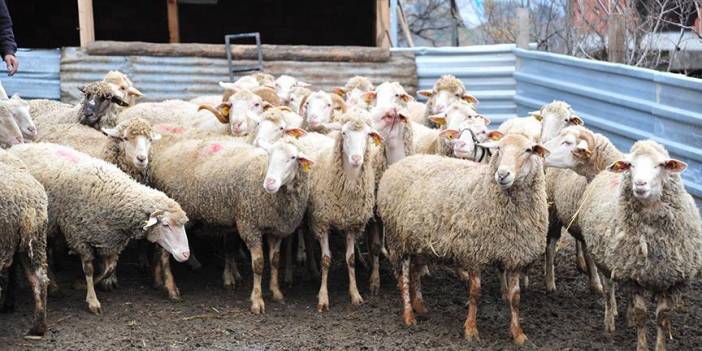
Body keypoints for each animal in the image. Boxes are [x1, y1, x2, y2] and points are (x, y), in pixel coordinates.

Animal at [8, 144, 190, 316]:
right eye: (166, 225)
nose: (186, 254)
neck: (115, 193)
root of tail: (16, 147)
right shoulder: (79, 236)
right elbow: (89, 269)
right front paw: (92, 300)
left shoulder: (109, 239)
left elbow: (109, 268)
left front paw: (81, 284)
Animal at [308, 110, 382, 310]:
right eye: (343, 133)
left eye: (368, 134)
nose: (356, 159)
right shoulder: (322, 222)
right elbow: (326, 260)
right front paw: (323, 297)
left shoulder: (352, 224)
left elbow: (350, 259)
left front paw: (355, 293)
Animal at [380, 135, 552, 346]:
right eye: (498, 149)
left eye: (528, 150)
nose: (502, 174)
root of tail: (397, 165)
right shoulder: (474, 253)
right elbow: (475, 293)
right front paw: (470, 330)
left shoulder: (514, 258)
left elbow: (515, 298)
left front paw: (518, 334)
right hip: (398, 240)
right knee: (403, 277)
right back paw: (408, 315)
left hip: (419, 243)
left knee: (414, 273)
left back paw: (420, 306)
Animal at [564, 140, 702, 351]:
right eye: (631, 165)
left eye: (661, 165)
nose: (640, 184)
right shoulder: (632, 278)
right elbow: (641, 315)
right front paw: (642, 345)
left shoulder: (667, 279)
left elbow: (662, 318)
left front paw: (660, 345)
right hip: (608, 262)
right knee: (609, 290)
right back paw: (609, 323)